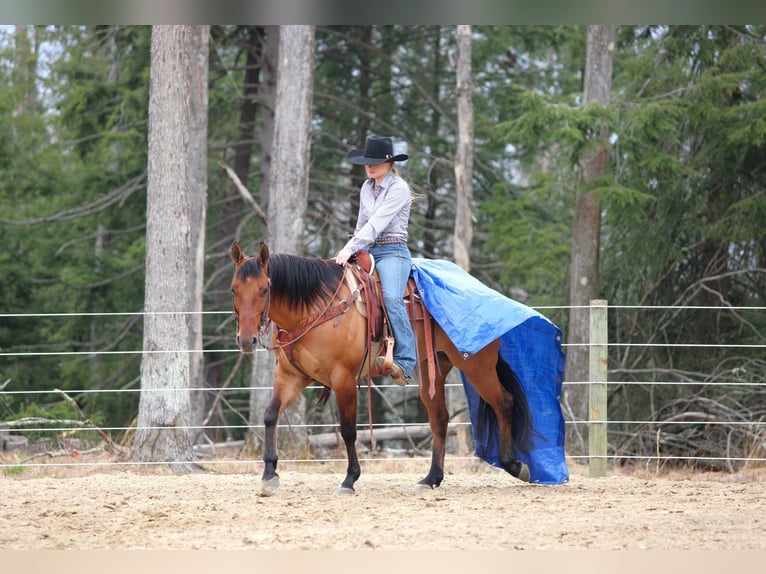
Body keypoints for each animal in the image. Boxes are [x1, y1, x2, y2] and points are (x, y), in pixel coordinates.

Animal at [230, 241, 532, 495]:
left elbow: (348, 430)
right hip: (433, 370)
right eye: (234, 289)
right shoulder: (291, 375)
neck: (316, 307)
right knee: (440, 419)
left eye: (265, 289)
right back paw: (431, 478)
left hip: (477, 366)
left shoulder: (343, 378)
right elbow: (270, 416)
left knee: (504, 403)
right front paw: (269, 475)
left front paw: (350, 479)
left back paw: (516, 466)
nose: (246, 340)